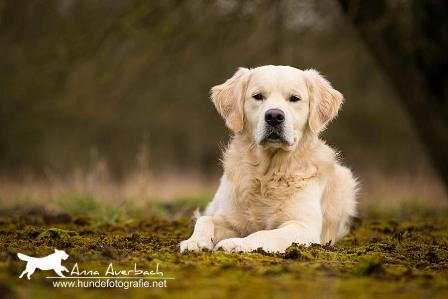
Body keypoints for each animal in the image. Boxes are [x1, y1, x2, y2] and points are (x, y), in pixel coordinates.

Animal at [178, 65, 356, 253]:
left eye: (294, 98)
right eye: (258, 96)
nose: (274, 116)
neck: (267, 173)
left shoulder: (303, 226)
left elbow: (263, 233)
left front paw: (236, 243)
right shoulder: (230, 218)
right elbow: (205, 220)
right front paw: (195, 241)